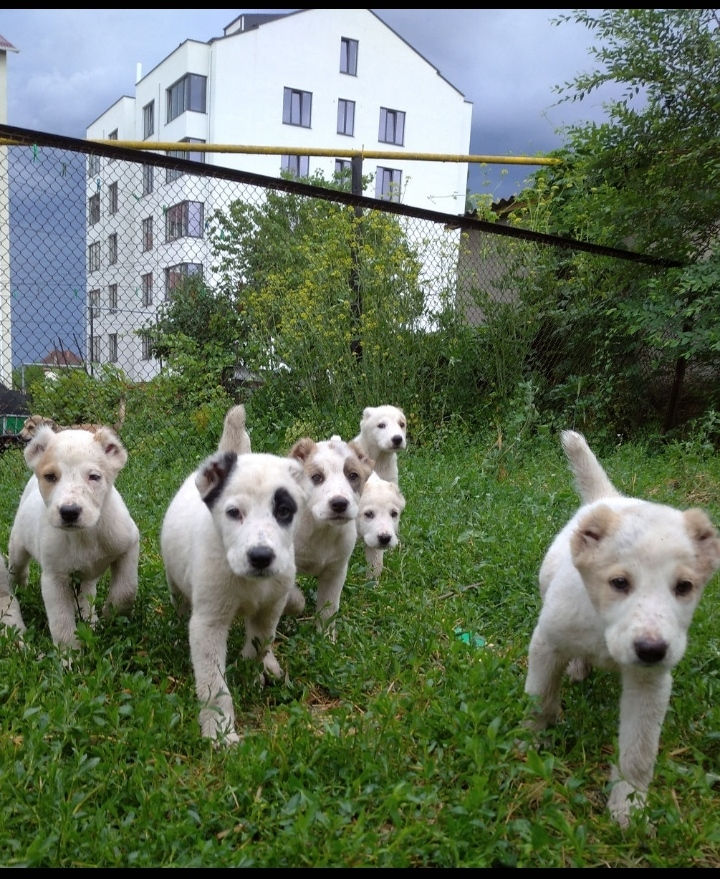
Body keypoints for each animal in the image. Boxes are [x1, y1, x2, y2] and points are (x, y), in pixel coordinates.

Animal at [3, 426, 139, 652]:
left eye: (94, 476)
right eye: (50, 476)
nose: (69, 512)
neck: (85, 535)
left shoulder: (128, 546)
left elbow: (126, 590)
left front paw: (111, 616)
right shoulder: (54, 579)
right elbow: (62, 623)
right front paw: (69, 655)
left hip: (85, 578)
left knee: (85, 596)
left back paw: (91, 622)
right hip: (18, 547)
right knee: (18, 570)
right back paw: (19, 589)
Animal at [162, 446, 308, 748]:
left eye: (284, 511)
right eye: (234, 513)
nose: (261, 557)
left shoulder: (269, 610)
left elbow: (258, 646)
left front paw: (250, 674)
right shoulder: (208, 623)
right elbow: (214, 684)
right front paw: (220, 731)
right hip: (177, 584)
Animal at [524, 430, 720, 828]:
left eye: (684, 587)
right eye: (619, 583)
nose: (651, 650)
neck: (602, 630)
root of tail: (610, 498)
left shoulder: (650, 684)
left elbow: (638, 752)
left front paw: (629, 805)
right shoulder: (547, 644)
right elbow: (541, 700)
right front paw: (533, 744)